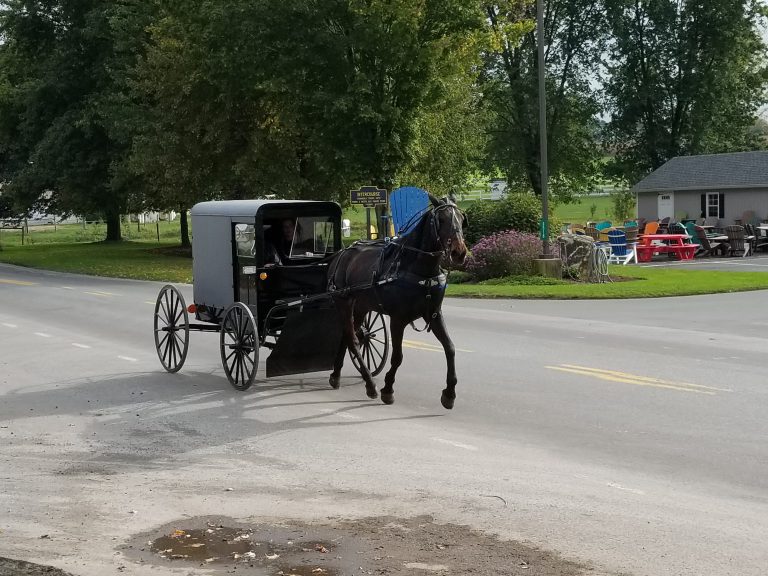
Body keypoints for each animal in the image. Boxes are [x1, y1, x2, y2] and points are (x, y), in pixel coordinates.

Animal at [326, 195, 468, 410]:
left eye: (461, 219)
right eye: (441, 219)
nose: (458, 252)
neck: (420, 270)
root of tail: (341, 254)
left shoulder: (434, 314)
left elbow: (450, 348)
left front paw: (449, 393)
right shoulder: (398, 319)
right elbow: (397, 356)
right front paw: (388, 389)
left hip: (361, 306)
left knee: (350, 336)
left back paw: (337, 375)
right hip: (344, 303)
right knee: (353, 340)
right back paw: (370, 383)